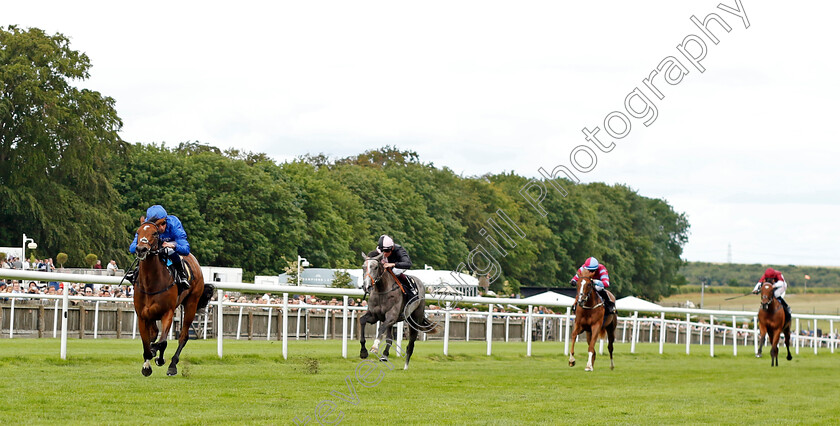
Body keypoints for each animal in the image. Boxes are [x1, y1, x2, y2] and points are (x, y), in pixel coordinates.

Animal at [133, 220, 213, 376]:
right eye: (138, 232)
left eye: (155, 233)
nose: (141, 249)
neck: (151, 284)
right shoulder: (142, 316)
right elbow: (147, 342)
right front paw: (147, 365)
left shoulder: (167, 313)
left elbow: (162, 342)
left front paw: (159, 358)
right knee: (155, 333)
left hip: (191, 304)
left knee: (183, 336)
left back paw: (172, 365)